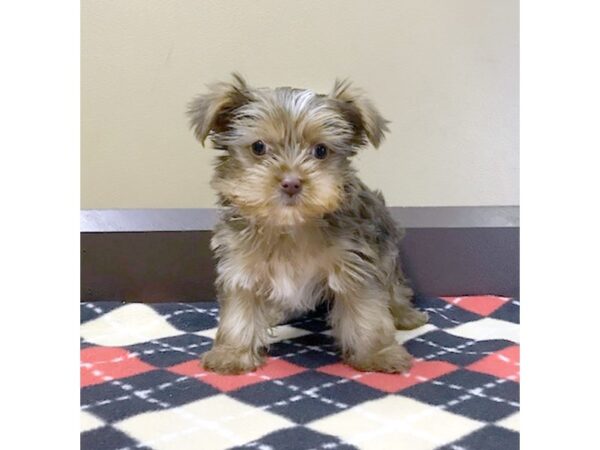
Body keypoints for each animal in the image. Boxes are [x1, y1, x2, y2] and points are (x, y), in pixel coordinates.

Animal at [188, 74, 426, 376]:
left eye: (321, 151)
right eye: (258, 147)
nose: (291, 182)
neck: (291, 225)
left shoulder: (355, 264)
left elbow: (367, 312)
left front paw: (378, 354)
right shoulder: (240, 266)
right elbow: (239, 311)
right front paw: (231, 354)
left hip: (384, 247)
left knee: (393, 284)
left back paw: (405, 314)